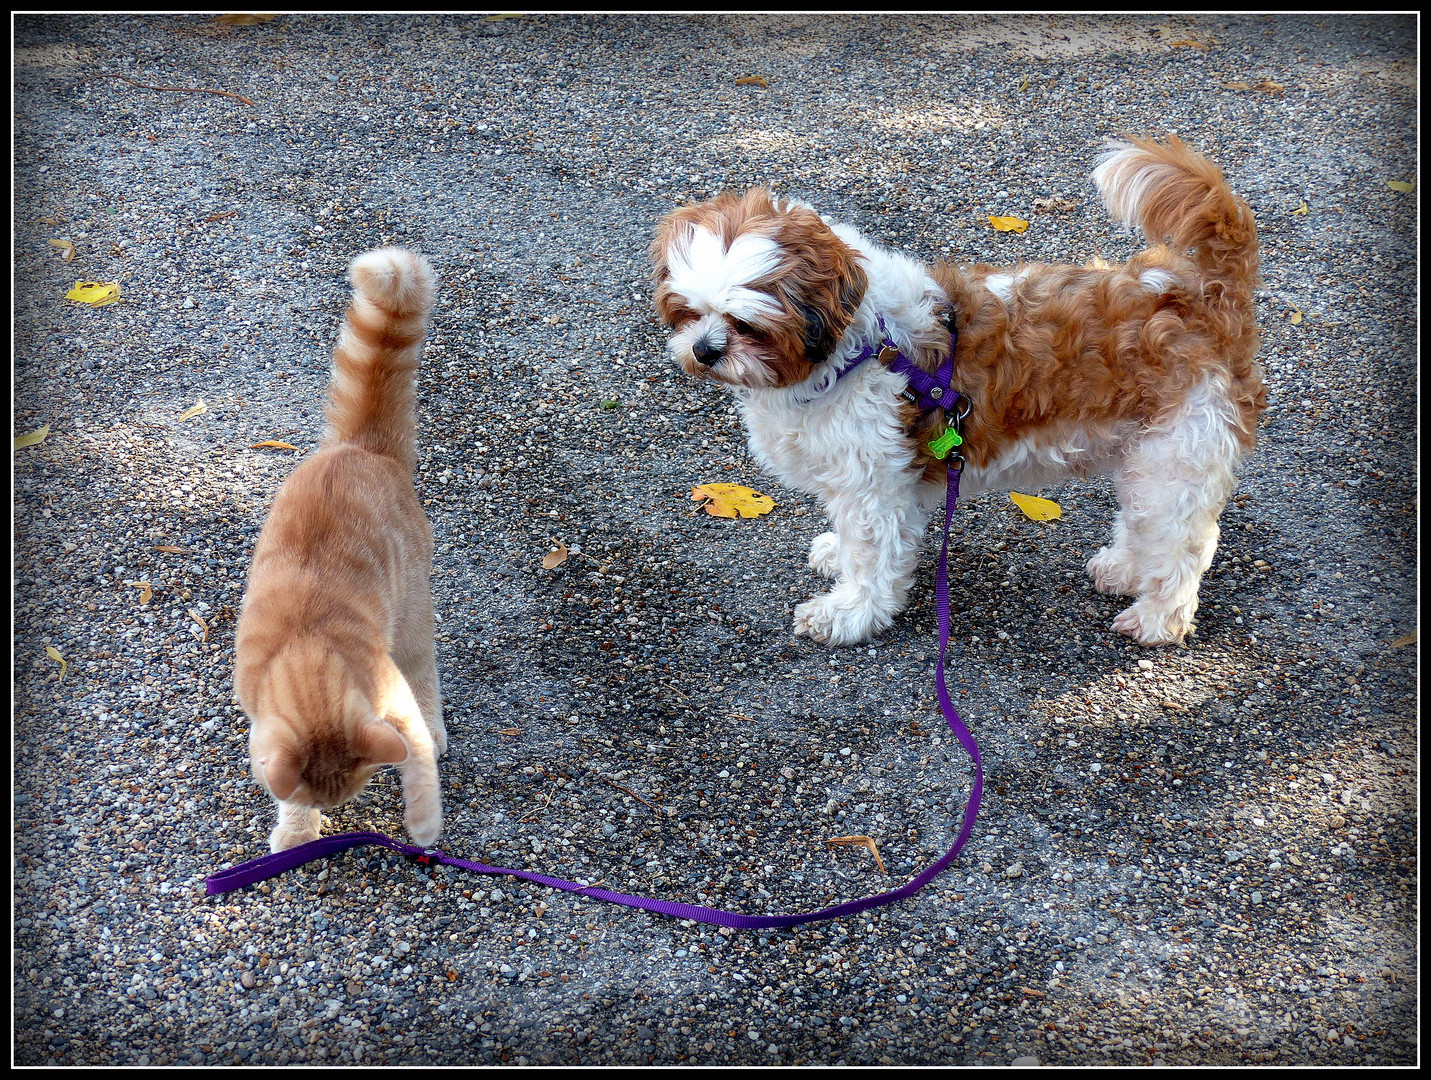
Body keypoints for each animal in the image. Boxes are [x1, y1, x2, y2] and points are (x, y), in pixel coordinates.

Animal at [231, 248, 443, 858]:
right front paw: (297, 829)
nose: (340, 807)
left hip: (412, 618)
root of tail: (358, 447)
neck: (306, 650)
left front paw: (424, 825)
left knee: (426, 673)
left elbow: (419, 761)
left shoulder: (394, 702)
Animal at [649, 130, 1265, 646]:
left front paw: (847, 614)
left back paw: (1158, 619)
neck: (862, 349)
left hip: (1177, 457)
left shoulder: (873, 487)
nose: (705, 349)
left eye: (746, 325)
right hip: (1148, 459)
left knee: (1183, 547)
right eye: (688, 312)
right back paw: (1125, 568)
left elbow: (871, 558)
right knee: (1147, 523)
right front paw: (835, 554)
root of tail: (1203, 291)